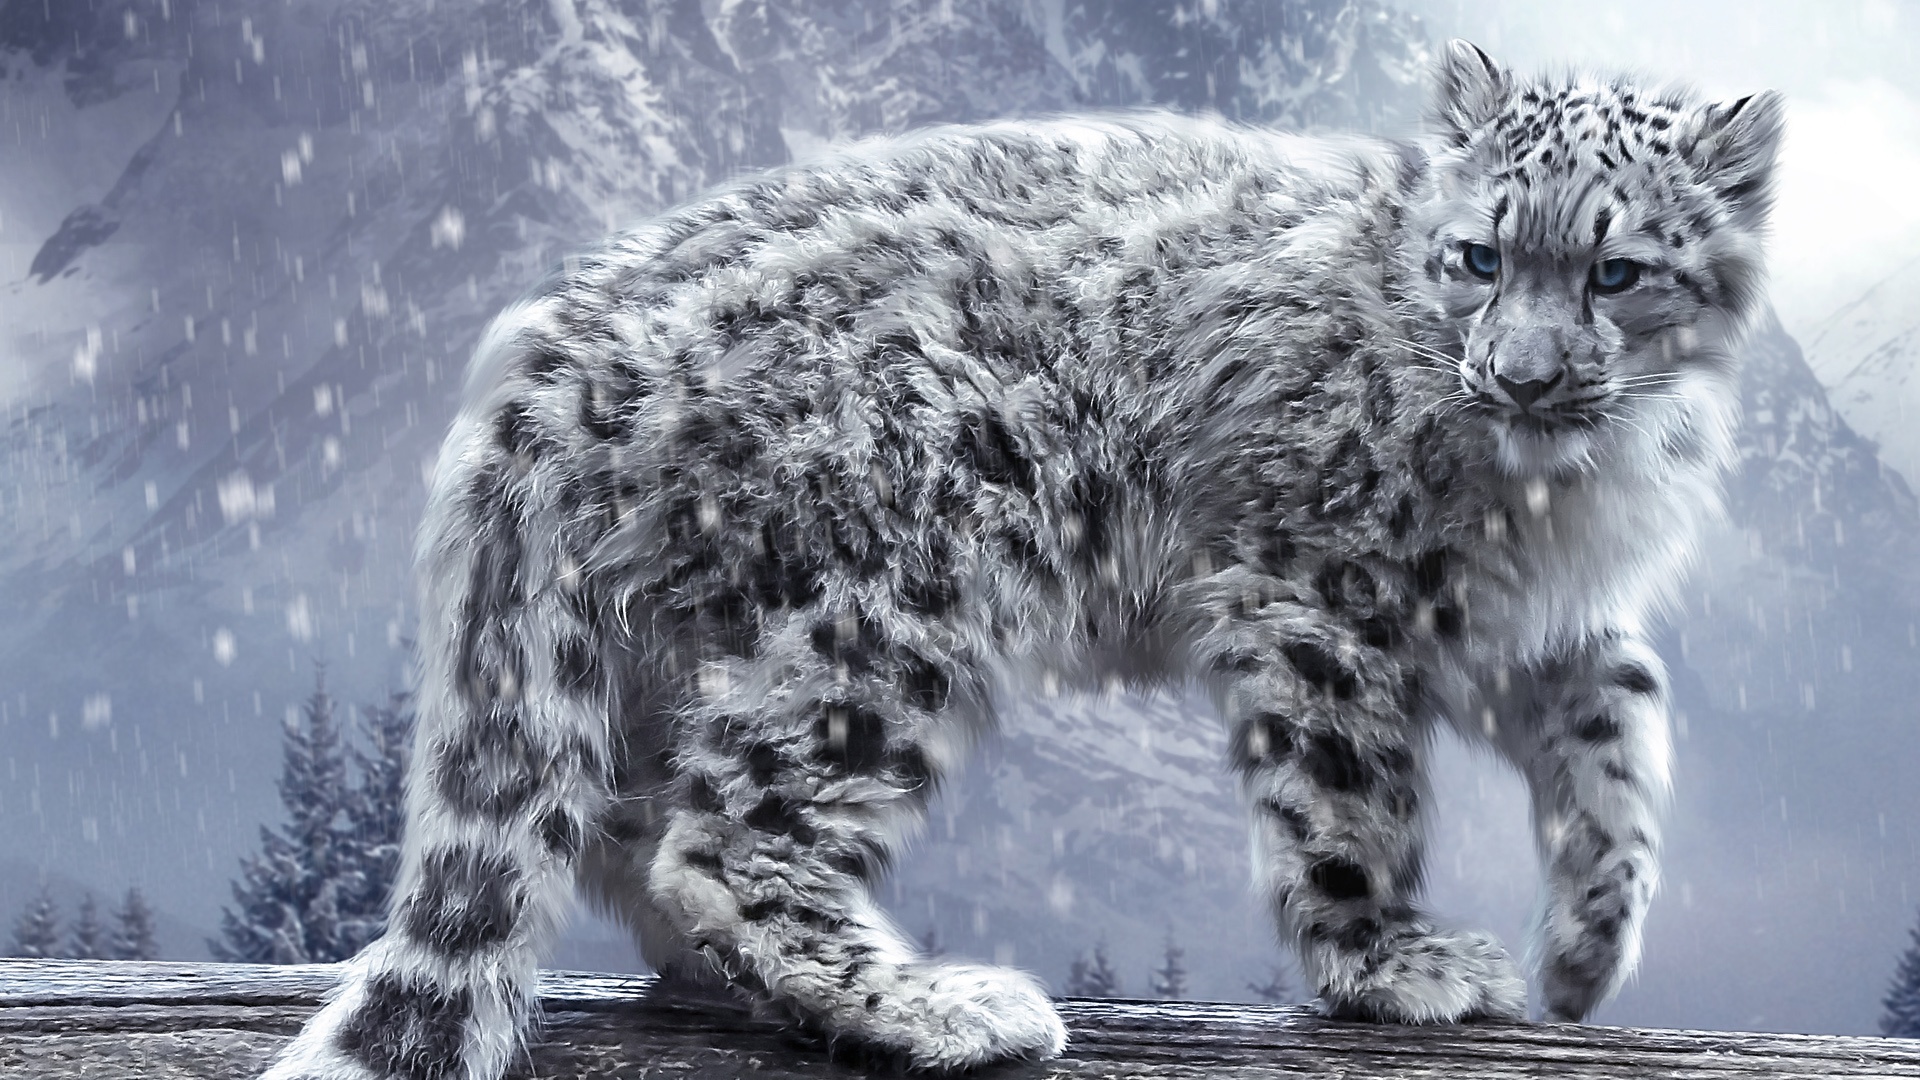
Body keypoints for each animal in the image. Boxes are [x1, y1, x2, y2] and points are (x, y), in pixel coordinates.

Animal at [260, 40, 1781, 1079]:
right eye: (1479, 256)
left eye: (1615, 272)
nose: (1521, 375)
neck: (1564, 493)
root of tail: (557, 351)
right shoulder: (1326, 594)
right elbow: (1352, 792)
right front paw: (1395, 962)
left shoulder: (1535, 621)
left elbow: (1621, 728)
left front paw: (1586, 953)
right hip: (893, 599)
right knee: (720, 831)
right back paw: (943, 1006)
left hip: (678, 637)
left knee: (628, 823)